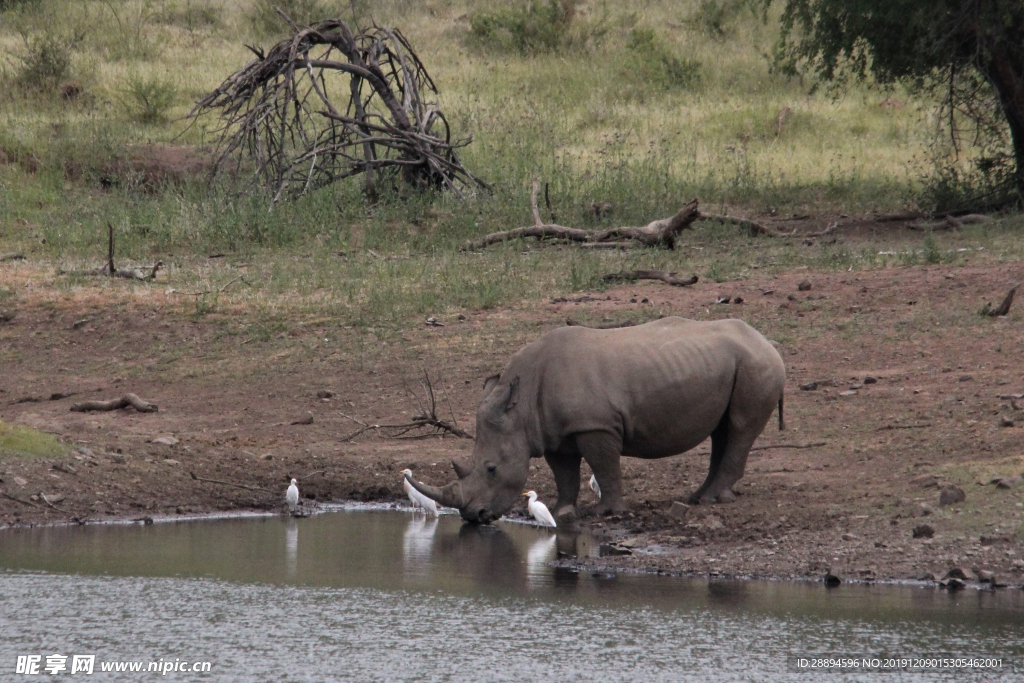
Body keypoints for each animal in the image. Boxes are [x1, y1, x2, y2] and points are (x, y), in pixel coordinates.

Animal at [403, 317, 786, 524]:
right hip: (731, 364)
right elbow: (564, 473)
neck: (521, 405)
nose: (473, 516)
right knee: (722, 431)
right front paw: (564, 511)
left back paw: (711, 501)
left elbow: (604, 467)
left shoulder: (596, 425)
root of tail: (767, 342)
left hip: (756, 364)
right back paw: (696, 498)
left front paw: (606, 512)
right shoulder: (553, 432)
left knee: (739, 429)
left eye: (492, 469)